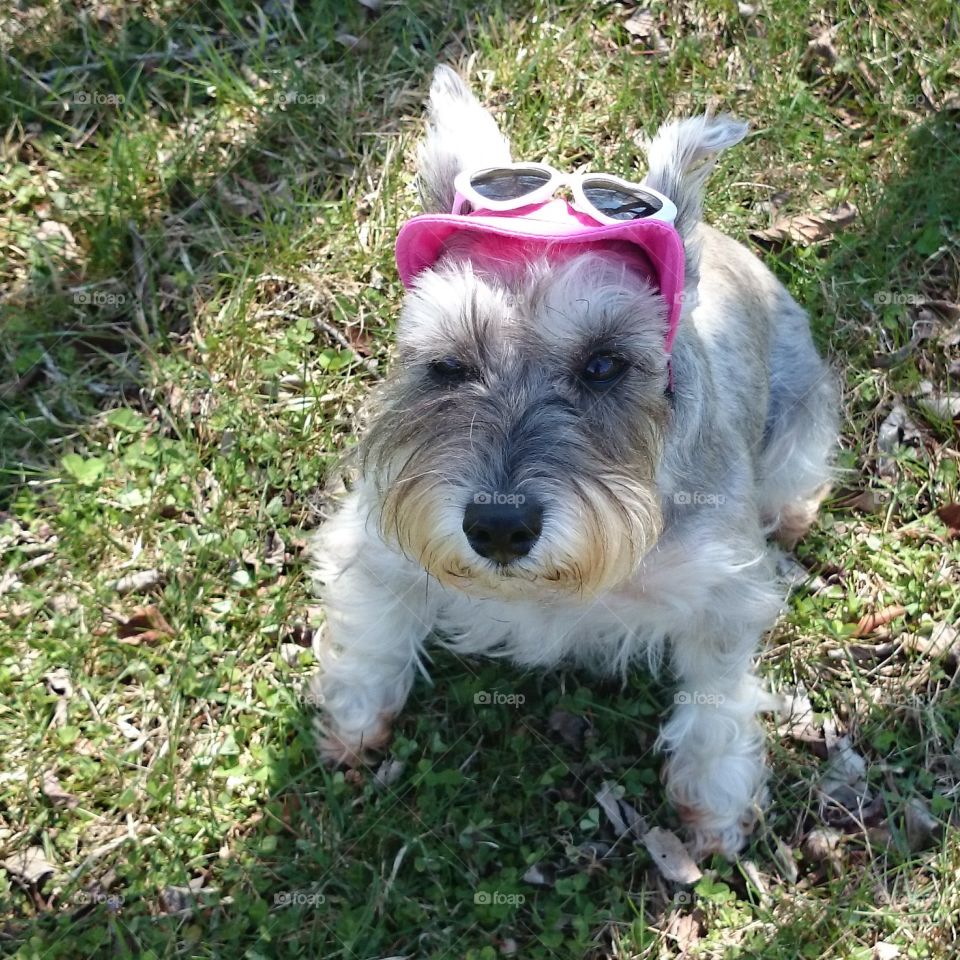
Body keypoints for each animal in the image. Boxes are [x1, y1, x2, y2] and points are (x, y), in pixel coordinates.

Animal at [310, 67, 840, 856]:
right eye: (448, 364)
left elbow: (716, 692)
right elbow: (374, 627)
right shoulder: (380, 535)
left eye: (605, 365)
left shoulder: (723, 591)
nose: (499, 529)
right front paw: (353, 715)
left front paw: (715, 797)